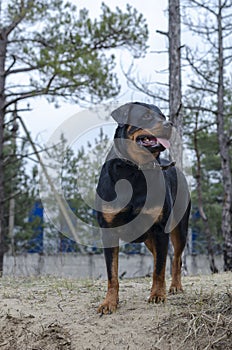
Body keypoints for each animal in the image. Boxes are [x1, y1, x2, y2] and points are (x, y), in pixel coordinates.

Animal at [96, 102, 190, 314]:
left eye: (163, 116)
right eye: (146, 116)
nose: (169, 124)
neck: (135, 170)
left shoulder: (160, 228)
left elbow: (159, 268)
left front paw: (157, 295)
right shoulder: (108, 231)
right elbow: (112, 274)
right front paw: (109, 302)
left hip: (179, 228)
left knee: (175, 259)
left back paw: (175, 286)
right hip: (148, 238)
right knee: (158, 257)